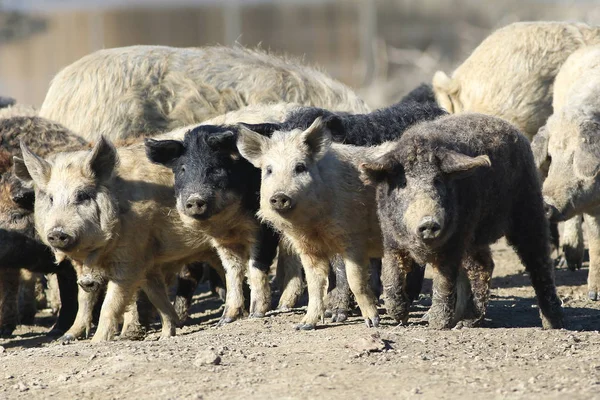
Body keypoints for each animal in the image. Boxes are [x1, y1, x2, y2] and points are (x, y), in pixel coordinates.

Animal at [360, 112, 568, 328]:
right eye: (404, 183)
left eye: (438, 181)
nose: (428, 222)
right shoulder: (390, 237)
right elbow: (392, 271)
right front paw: (400, 317)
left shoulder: (455, 241)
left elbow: (444, 279)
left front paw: (436, 324)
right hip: (476, 235)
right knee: (484, 265)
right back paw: (467, 322)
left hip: (527, 207)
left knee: (539, 261)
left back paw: (553, 323)